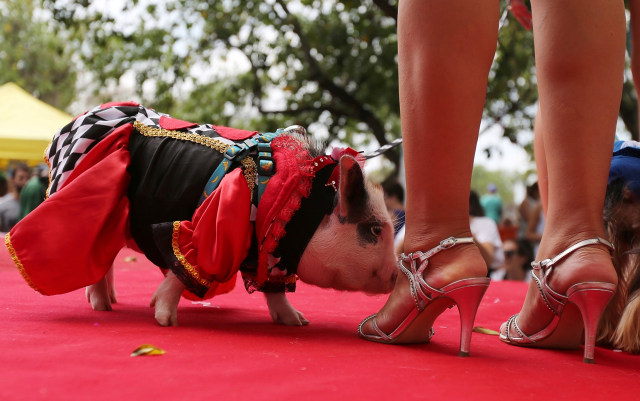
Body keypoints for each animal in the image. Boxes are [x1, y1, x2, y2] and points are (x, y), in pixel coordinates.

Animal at [7, 101, 398, 326]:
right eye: (375, 230)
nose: (397, 275)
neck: (295, 204)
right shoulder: (210, 227)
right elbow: (183, 269)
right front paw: (164, 321)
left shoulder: (266, 253)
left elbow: (275, 292)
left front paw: (297, 322)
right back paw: (102, 309)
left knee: (106, 256)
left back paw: (111, 302)